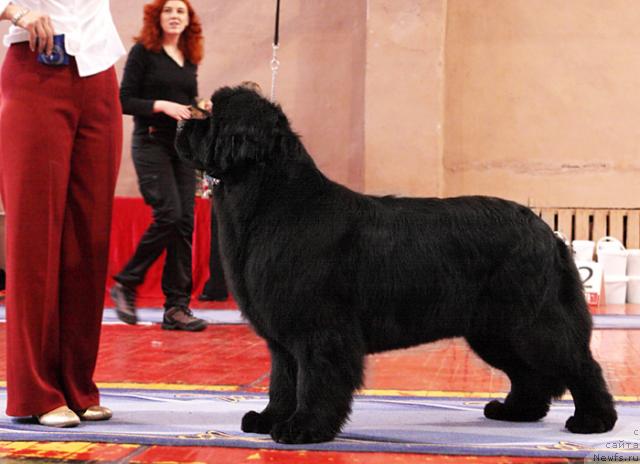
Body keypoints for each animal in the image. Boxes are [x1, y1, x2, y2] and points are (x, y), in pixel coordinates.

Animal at [175, 85, 616, 444]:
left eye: (208, 116)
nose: (181, 121)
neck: (270, 202)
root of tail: (546, 230)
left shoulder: (320, 330)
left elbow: (314, 380)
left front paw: (304, 428)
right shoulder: (283, 337)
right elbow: (282, 381)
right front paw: (268, 420)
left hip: (531, 321)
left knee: (580, 364)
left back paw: (594, 420)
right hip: (494, 329)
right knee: (530, 375)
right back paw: (516, 412)